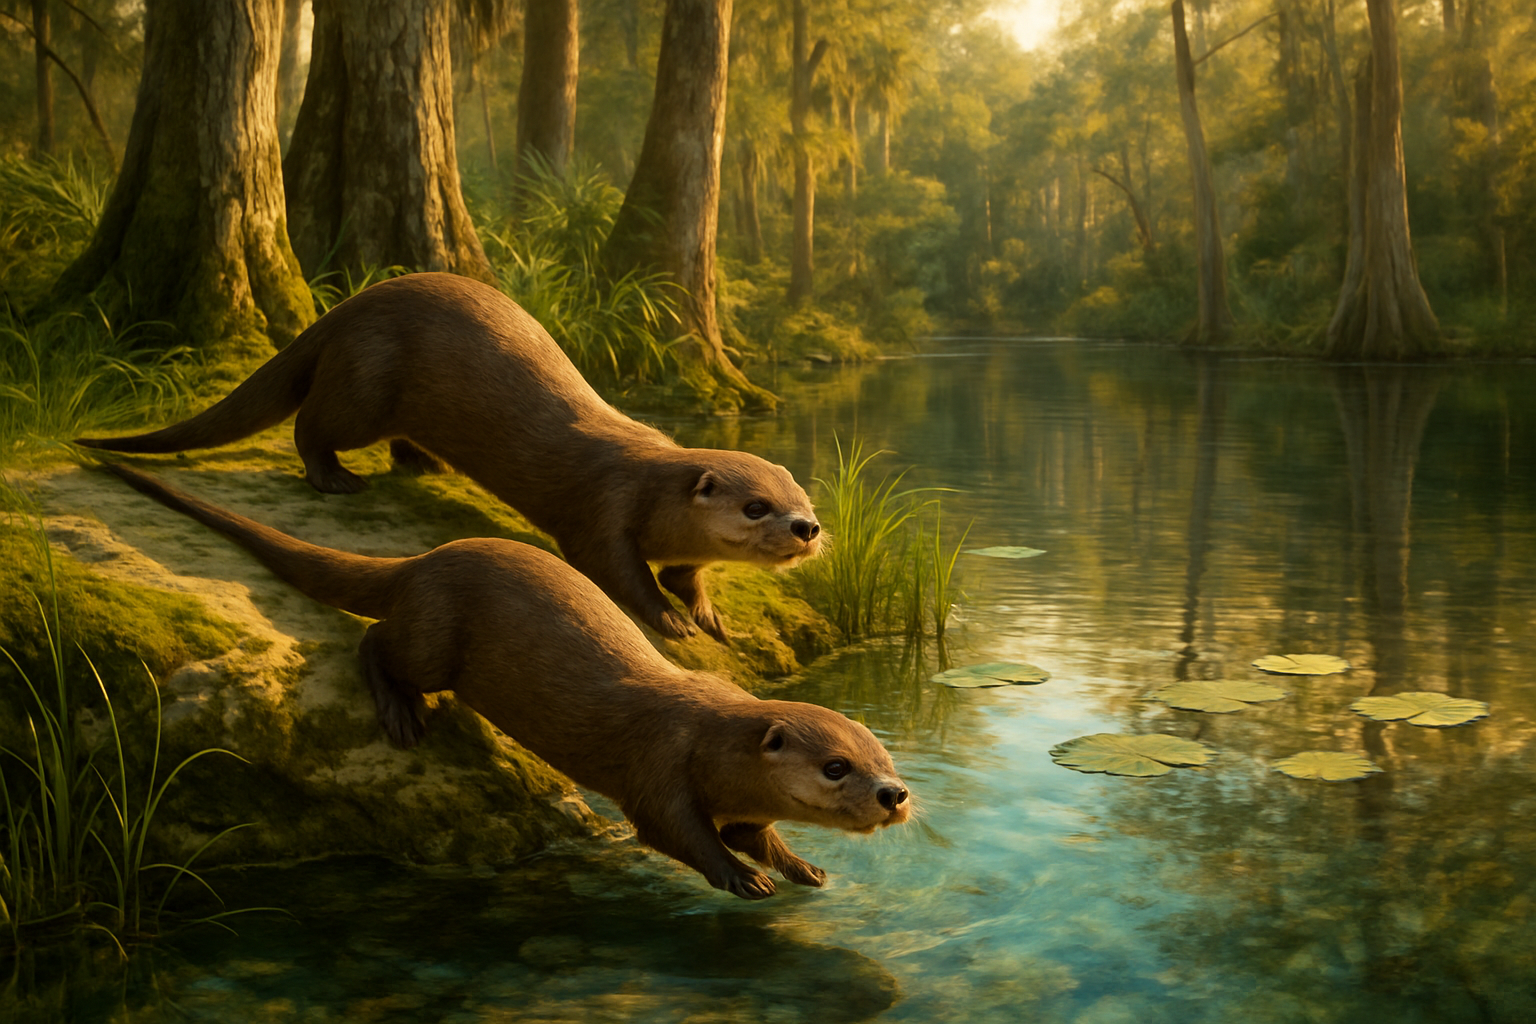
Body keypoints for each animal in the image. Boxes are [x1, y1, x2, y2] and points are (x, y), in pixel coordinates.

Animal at [76, 273, 820, 642]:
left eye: (804, 501)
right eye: (757, 507)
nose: (808, 529)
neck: (652, 483)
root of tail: (346, 307)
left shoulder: (677, 544)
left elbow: (688, 574)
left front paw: (707, 614)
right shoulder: (603, 508)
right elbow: (615, 569)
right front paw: (667, 619)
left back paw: (421, 464)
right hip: (365, 382)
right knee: (313, 421)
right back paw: (333, 478)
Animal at [103, 465, 909, 899]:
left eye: (885, 759)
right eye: (837, 768)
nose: (896, 795)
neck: (710, 739)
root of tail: (426, 559)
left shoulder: (736, 797)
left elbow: (753, 831)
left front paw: (802, 865)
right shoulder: (658, 767)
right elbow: (672, 831)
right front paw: (741, 877)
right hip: (433, 635)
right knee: (375, 641)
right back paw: (402, 713)